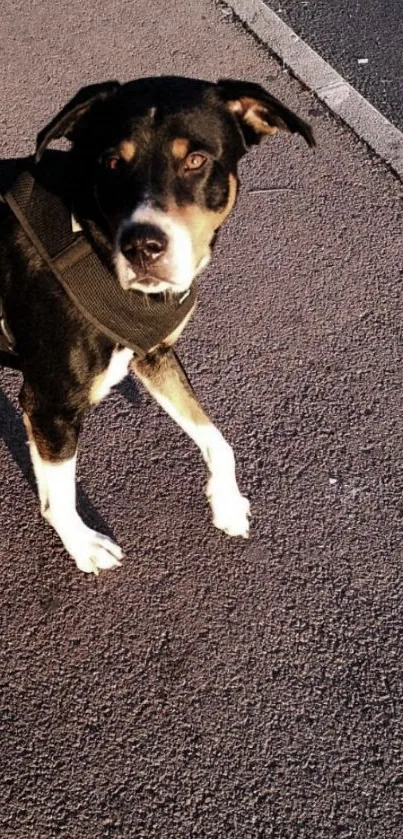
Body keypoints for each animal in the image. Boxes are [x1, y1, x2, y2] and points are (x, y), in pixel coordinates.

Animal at [0, 75, 316, 576]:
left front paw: (227, 503)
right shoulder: (50, 402)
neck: (90, 237)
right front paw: (83, 545)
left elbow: (215, 438)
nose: (143, 247)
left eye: (196, 160)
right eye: (111, 163)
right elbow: (60, 497)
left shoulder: (153, 356)